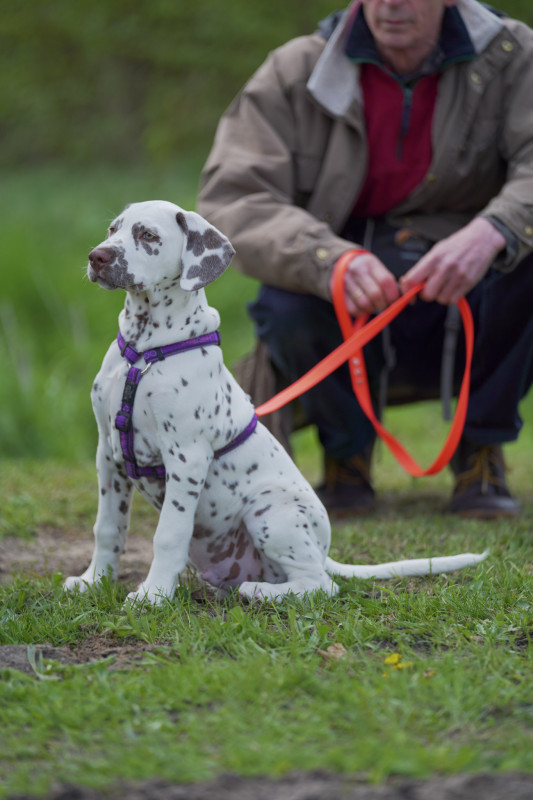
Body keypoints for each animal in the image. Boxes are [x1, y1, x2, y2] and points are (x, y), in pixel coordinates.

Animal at [63, 202, 486, 608]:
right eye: (113, 229)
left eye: (148, 235)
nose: (97, 256)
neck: (143, 352)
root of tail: (323, 550)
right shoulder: (109, 454)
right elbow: (108, 527)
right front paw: (93, 582)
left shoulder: (186, 458)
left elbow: (169, 534)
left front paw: (153, 595)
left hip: (269, 511)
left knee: (321, 586)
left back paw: (258, 592)